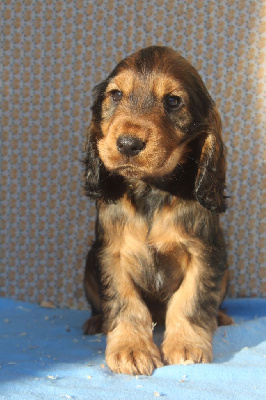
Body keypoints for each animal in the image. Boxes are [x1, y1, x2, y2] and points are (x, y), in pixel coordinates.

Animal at [83, 46, 233, 376]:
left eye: (173, 101)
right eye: (115, 95)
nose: (128, 143)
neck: (151, 191)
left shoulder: (204, 253)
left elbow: (191, 300)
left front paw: (187, 345)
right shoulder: (111, 254)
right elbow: (127, 305)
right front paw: (131, 349)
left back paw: (221, 317)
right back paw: (95, 321)